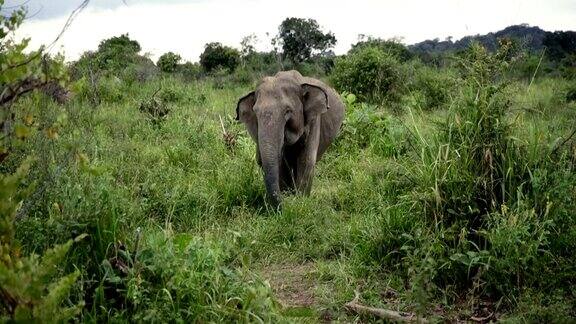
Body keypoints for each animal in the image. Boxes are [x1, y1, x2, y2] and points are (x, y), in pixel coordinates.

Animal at [235, 70, 344, 208]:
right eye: (255, 112)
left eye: (287, 111)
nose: (283, 205)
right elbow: (280, 163)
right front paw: (289, 196)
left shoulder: (314, 120)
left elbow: (306, 160)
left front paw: (300, 202)